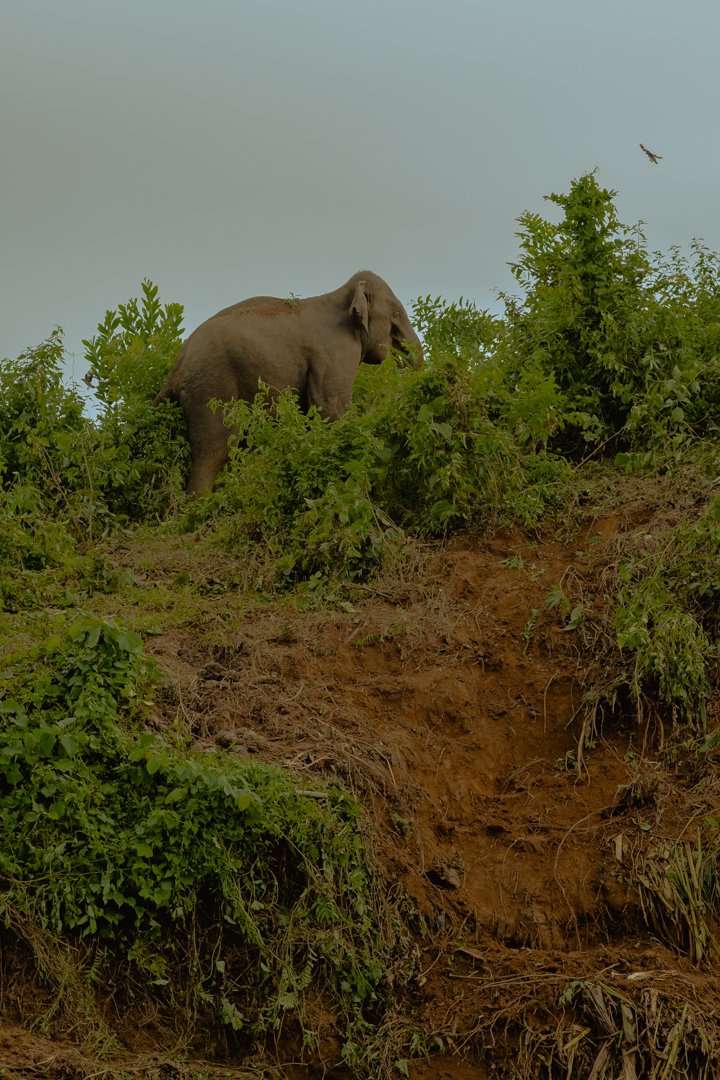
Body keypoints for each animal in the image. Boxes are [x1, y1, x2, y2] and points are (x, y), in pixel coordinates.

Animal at [153, 270, 423, 494]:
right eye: (396, 314)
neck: (341, 295)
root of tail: (177, 365)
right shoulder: (335, 353)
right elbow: (332, 408)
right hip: (211, 386)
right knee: (217, 449)